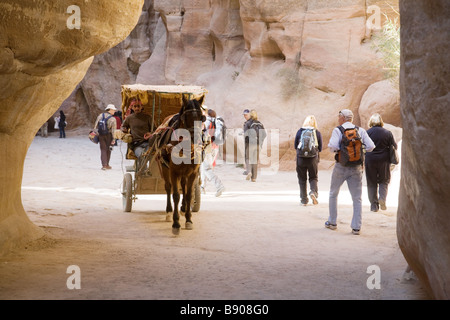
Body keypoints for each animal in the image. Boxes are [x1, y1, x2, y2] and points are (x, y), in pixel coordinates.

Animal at [158, 94, 206, 234]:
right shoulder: (173, 171)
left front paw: (189, 220)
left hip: (185, 172)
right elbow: (175, 195)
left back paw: (184, 208)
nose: (197, 138)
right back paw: (169, 212)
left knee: (183, 186)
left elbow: (189, 194)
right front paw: (176, 223)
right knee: (168, 188)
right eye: (186, 116)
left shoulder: (193, 172)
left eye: (201, 116)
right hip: (164, 168)